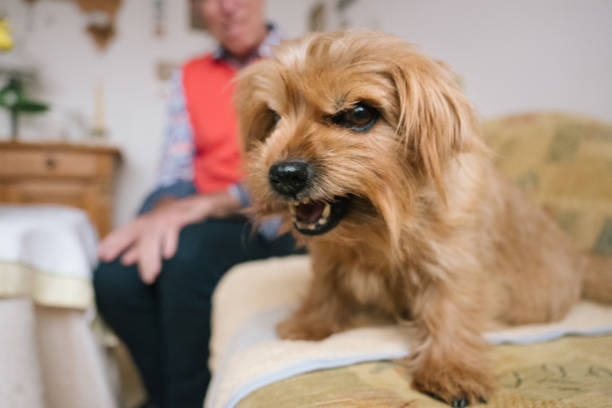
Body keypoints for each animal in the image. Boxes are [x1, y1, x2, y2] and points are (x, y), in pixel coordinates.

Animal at [233, 29, 612, 404]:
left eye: (359, 114)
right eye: (274, 117)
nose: (283, 174)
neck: (382, 227)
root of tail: (581, 259)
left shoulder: (453, 263)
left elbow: (451, 308)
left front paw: (451, 368)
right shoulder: (331, 258)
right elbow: (326, 287)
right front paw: (311, 324)